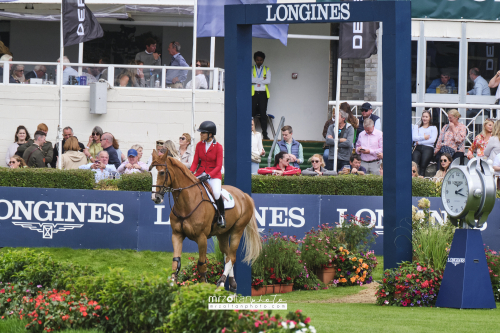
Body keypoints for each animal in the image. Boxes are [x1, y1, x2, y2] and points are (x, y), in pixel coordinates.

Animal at [149, 150, 262, 290]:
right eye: (151, 172)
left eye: (162, 172)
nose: (156, 198)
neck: (186, 203)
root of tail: (244, 195)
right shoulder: (177, 235)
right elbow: (176, 262)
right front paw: (171, 286)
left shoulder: (201, 237)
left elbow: (201, 264)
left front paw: (203, 286)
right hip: (222, 234)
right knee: (227, 255)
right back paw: (232, 283)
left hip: (238, 229)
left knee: (232, 257)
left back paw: (221, 283)